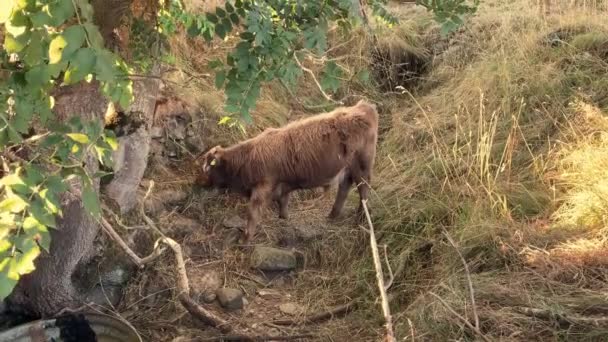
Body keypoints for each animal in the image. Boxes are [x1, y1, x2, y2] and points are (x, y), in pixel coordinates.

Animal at [195, 99, 378, 242]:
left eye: (206, 168)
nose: (197, 182)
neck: (249, 157)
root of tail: (363, 107)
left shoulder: (262, 188)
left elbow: (252, 214)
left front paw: (245, 240)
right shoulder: (284, 185)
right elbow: (284, 203)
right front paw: (284, 219)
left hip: (362, 167)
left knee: (363, 190)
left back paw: (361, 218)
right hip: (348, 169)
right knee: (344, 188)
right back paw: (333, 216)